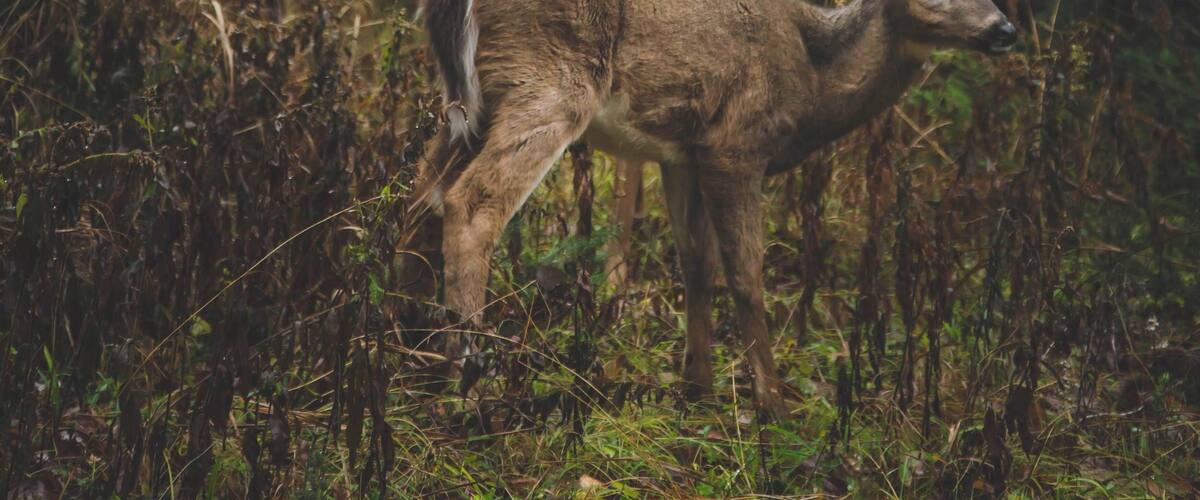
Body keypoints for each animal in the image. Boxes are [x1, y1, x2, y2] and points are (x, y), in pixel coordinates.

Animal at [412, 0, 1018, 418]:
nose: (1005, 29)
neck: (814, 76)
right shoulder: (735, 145)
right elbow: (745, 273)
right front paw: (774, 406)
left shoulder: (684, 152)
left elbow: (696, 265)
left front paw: (697, 389)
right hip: (546, 81)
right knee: (472, 202)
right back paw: (466, 380)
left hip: (471, 102)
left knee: (421, 196)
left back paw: (417, 354)